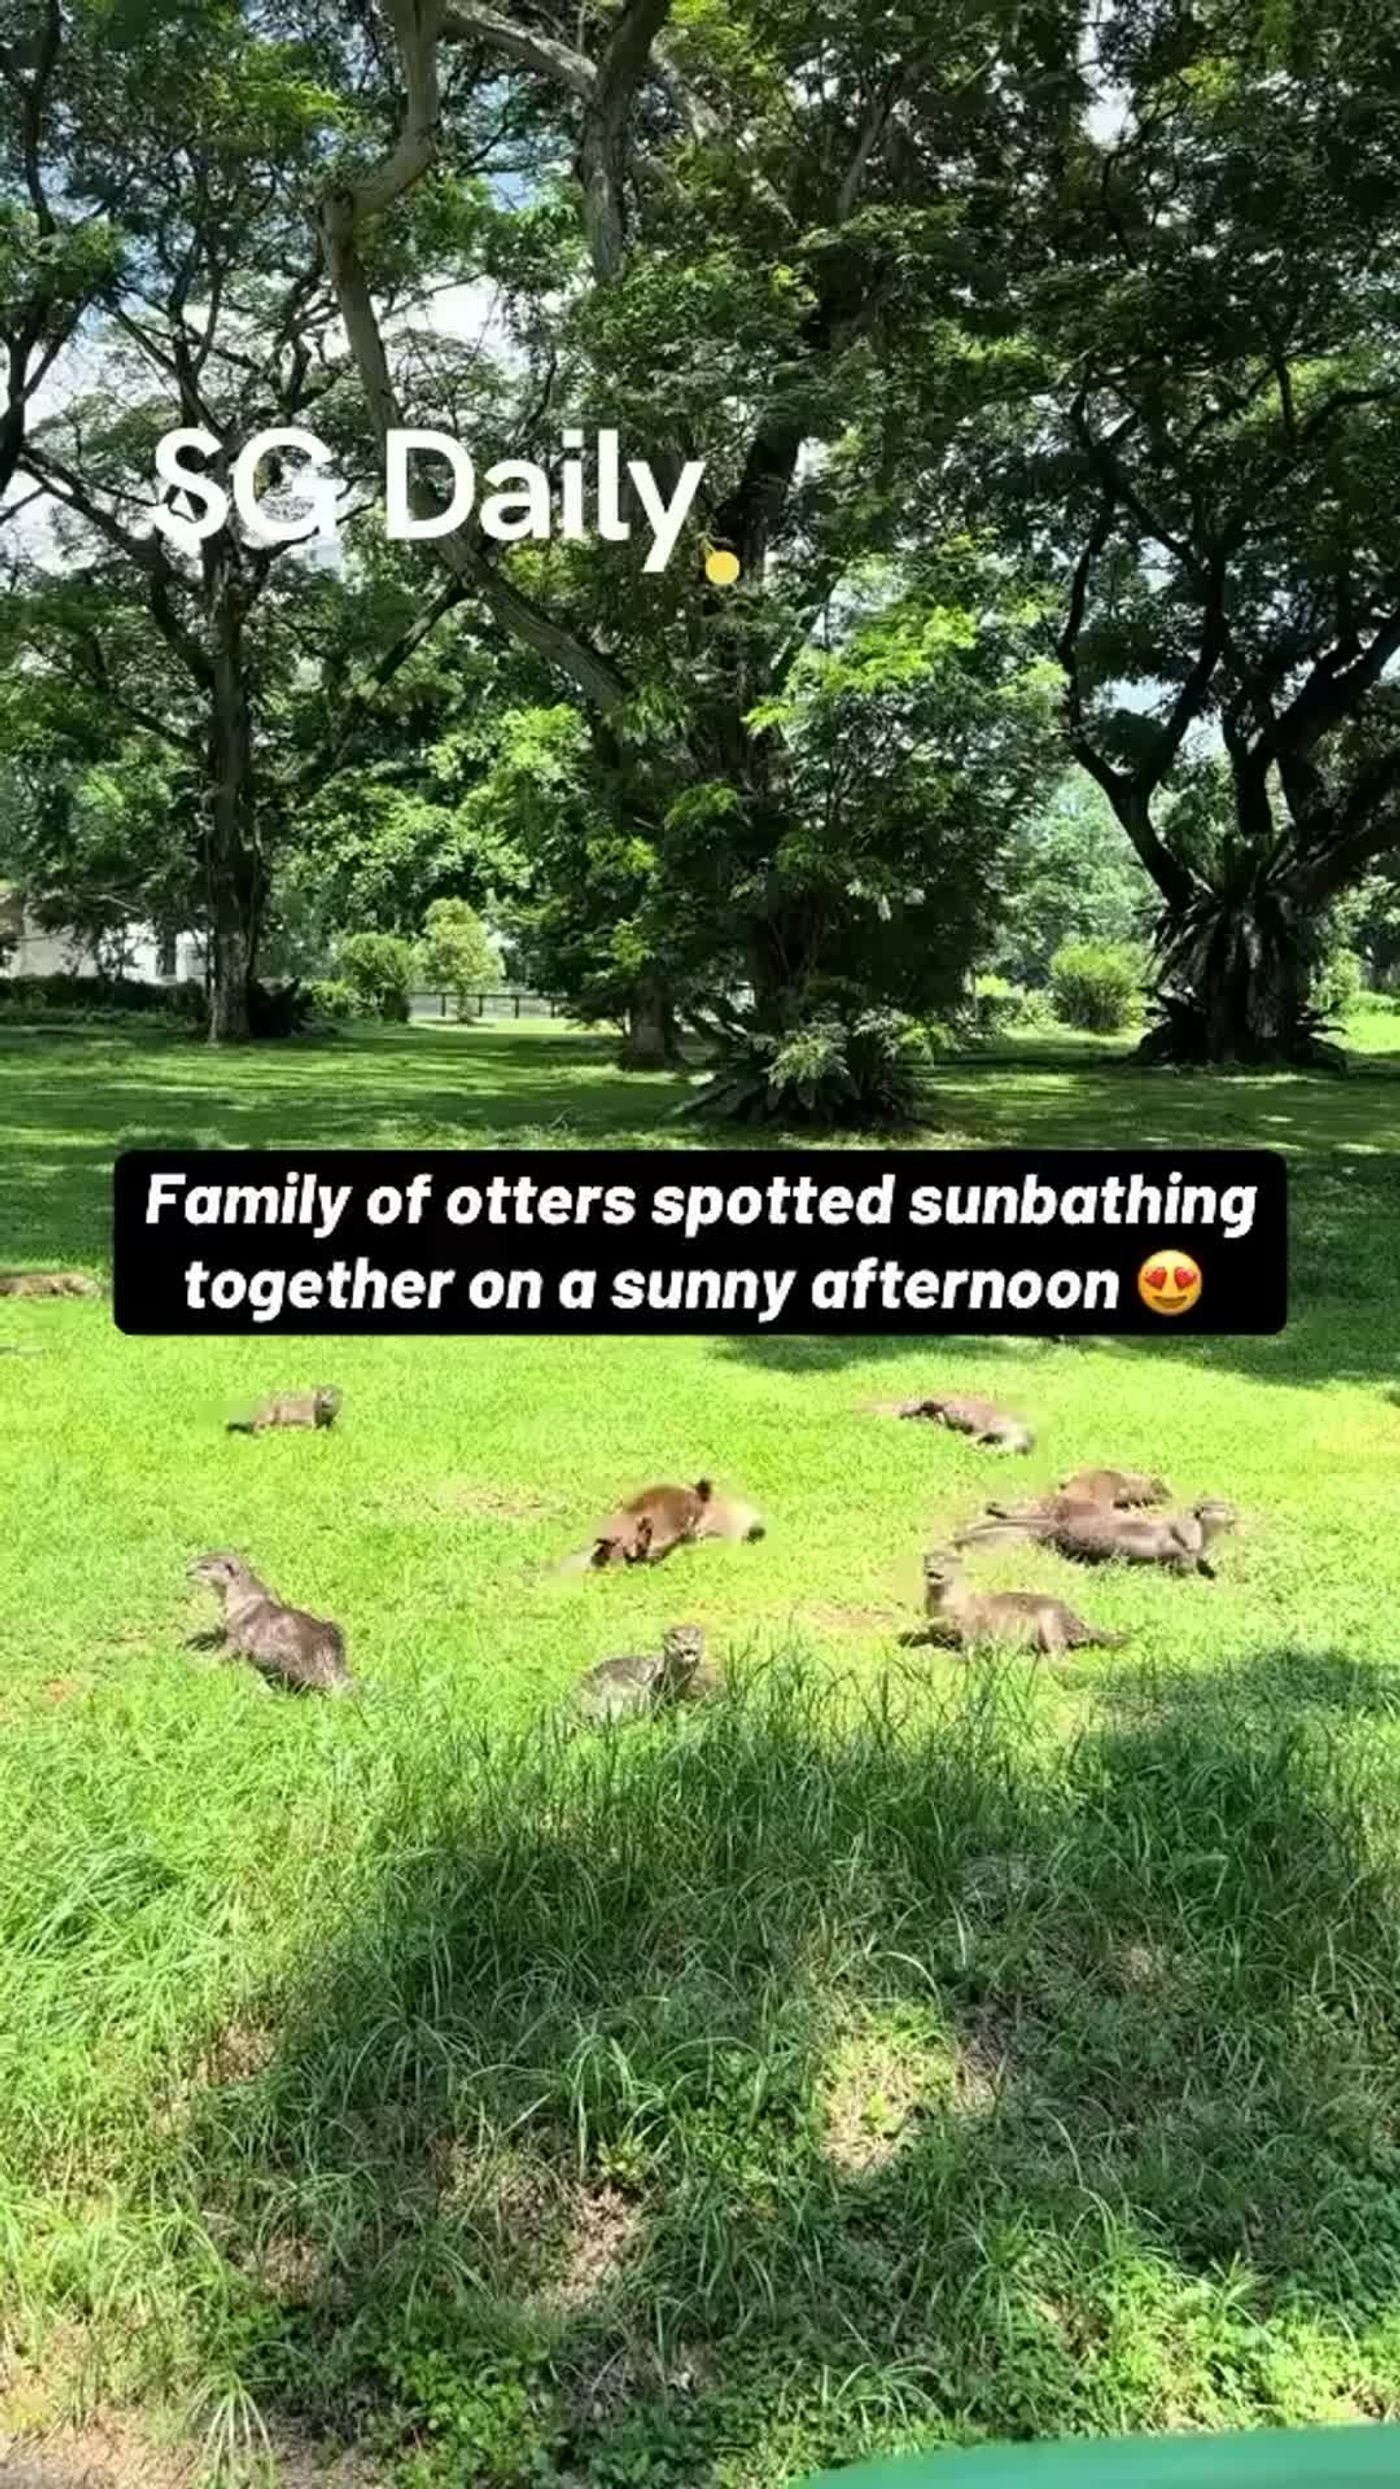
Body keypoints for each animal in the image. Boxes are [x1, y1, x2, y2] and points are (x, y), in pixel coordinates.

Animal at [187, 1552, 351, 1693]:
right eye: (198, 1559)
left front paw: (204, 1662)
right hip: (335, 1627)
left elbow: (224, 1652)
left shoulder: (237, 1634)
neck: (241, 1602)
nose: (188, 1572)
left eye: (205, 1567)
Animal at [911, 1550, 1128, 1657]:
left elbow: (969, 1641)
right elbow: (934, 1632)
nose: (929, 1563)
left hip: (1048, 1618)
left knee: (1060, 1647)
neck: (945, 1605)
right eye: (928, 1556)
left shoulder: (970, 1620)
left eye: (943, 1559)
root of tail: (1070, 1614)